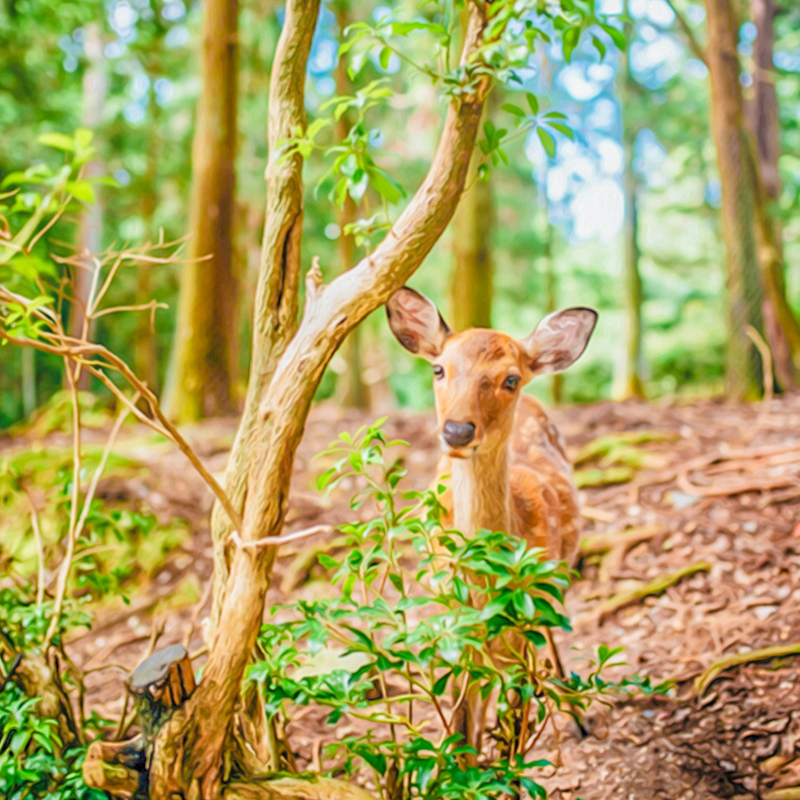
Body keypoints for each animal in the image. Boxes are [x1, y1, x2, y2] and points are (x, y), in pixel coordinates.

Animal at [384, 286, 596, 756]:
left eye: (510, 378)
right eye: (439, 368)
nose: (458, 431)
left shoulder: (526, 624)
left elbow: (512, 734)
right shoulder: (454, 630)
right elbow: (465, 729)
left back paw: (578, 718)